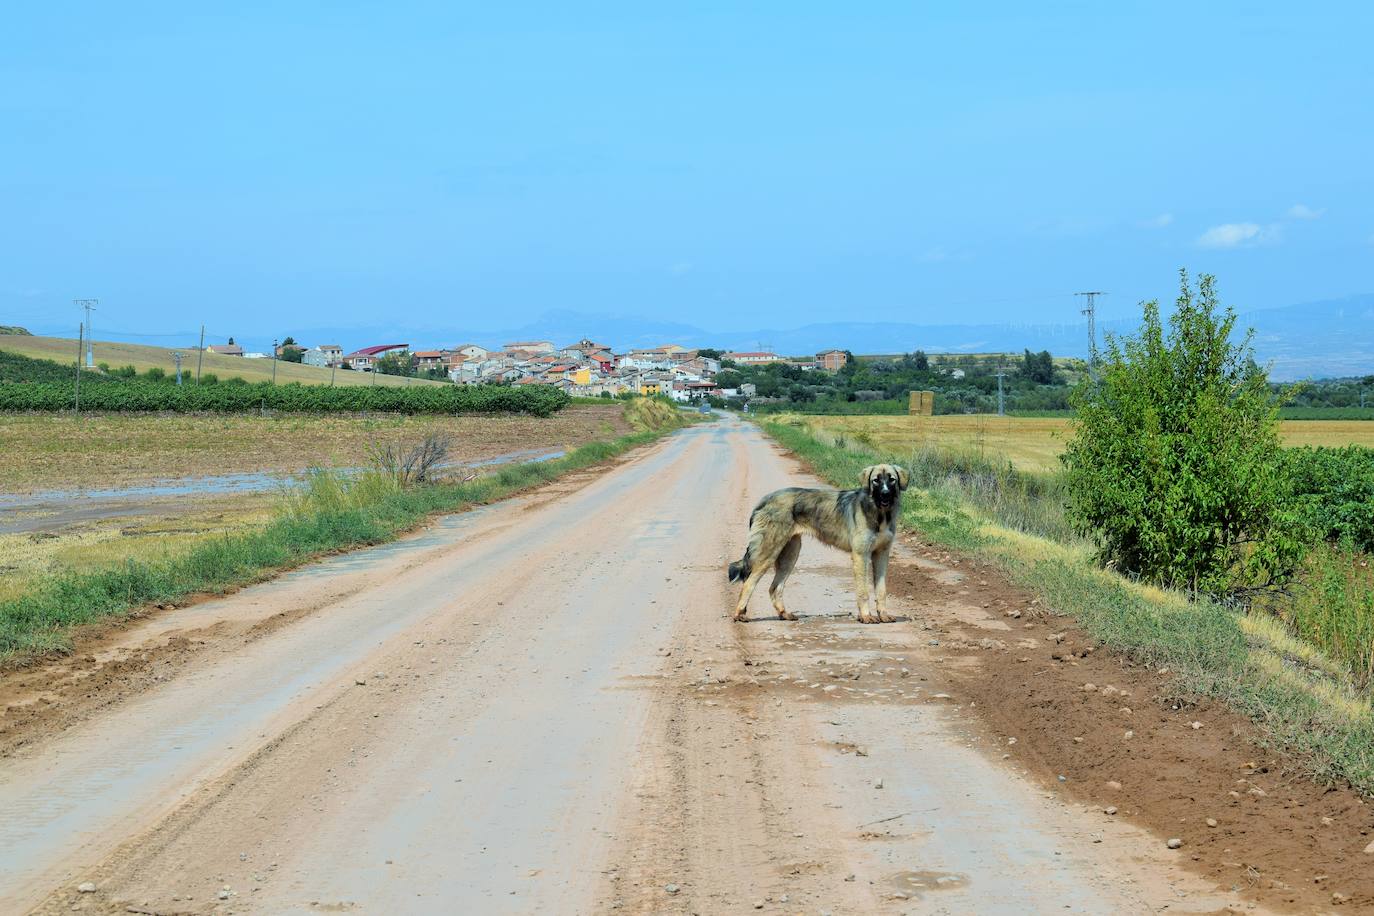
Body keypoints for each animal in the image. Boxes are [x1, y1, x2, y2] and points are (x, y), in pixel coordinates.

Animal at [730, 466, 912, 623]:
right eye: (876, 480)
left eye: (892, 480)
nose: (885, 494)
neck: (881, 514)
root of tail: (764, 500)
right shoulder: (861, 555)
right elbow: (863, 591)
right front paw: (866, 616)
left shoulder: (881, 555)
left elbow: (881, 590)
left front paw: (883, 615)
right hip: (769, 552)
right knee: (748, 583)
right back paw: (739, 614)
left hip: (790, 554)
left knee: (775, 587)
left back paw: (784, 614)